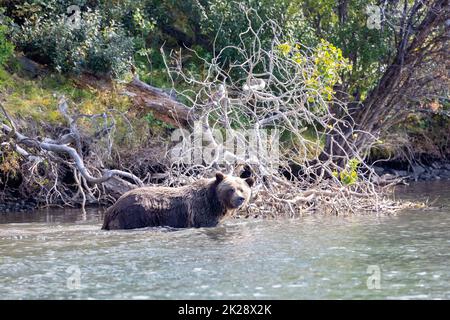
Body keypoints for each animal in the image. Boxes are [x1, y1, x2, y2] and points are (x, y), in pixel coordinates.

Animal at [102, 172, 255, 230]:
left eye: (242, 189)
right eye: (231, 189)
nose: (240, 199)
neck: (215, 203)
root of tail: (113, 207)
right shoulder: (201, 212)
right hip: (134, 215)